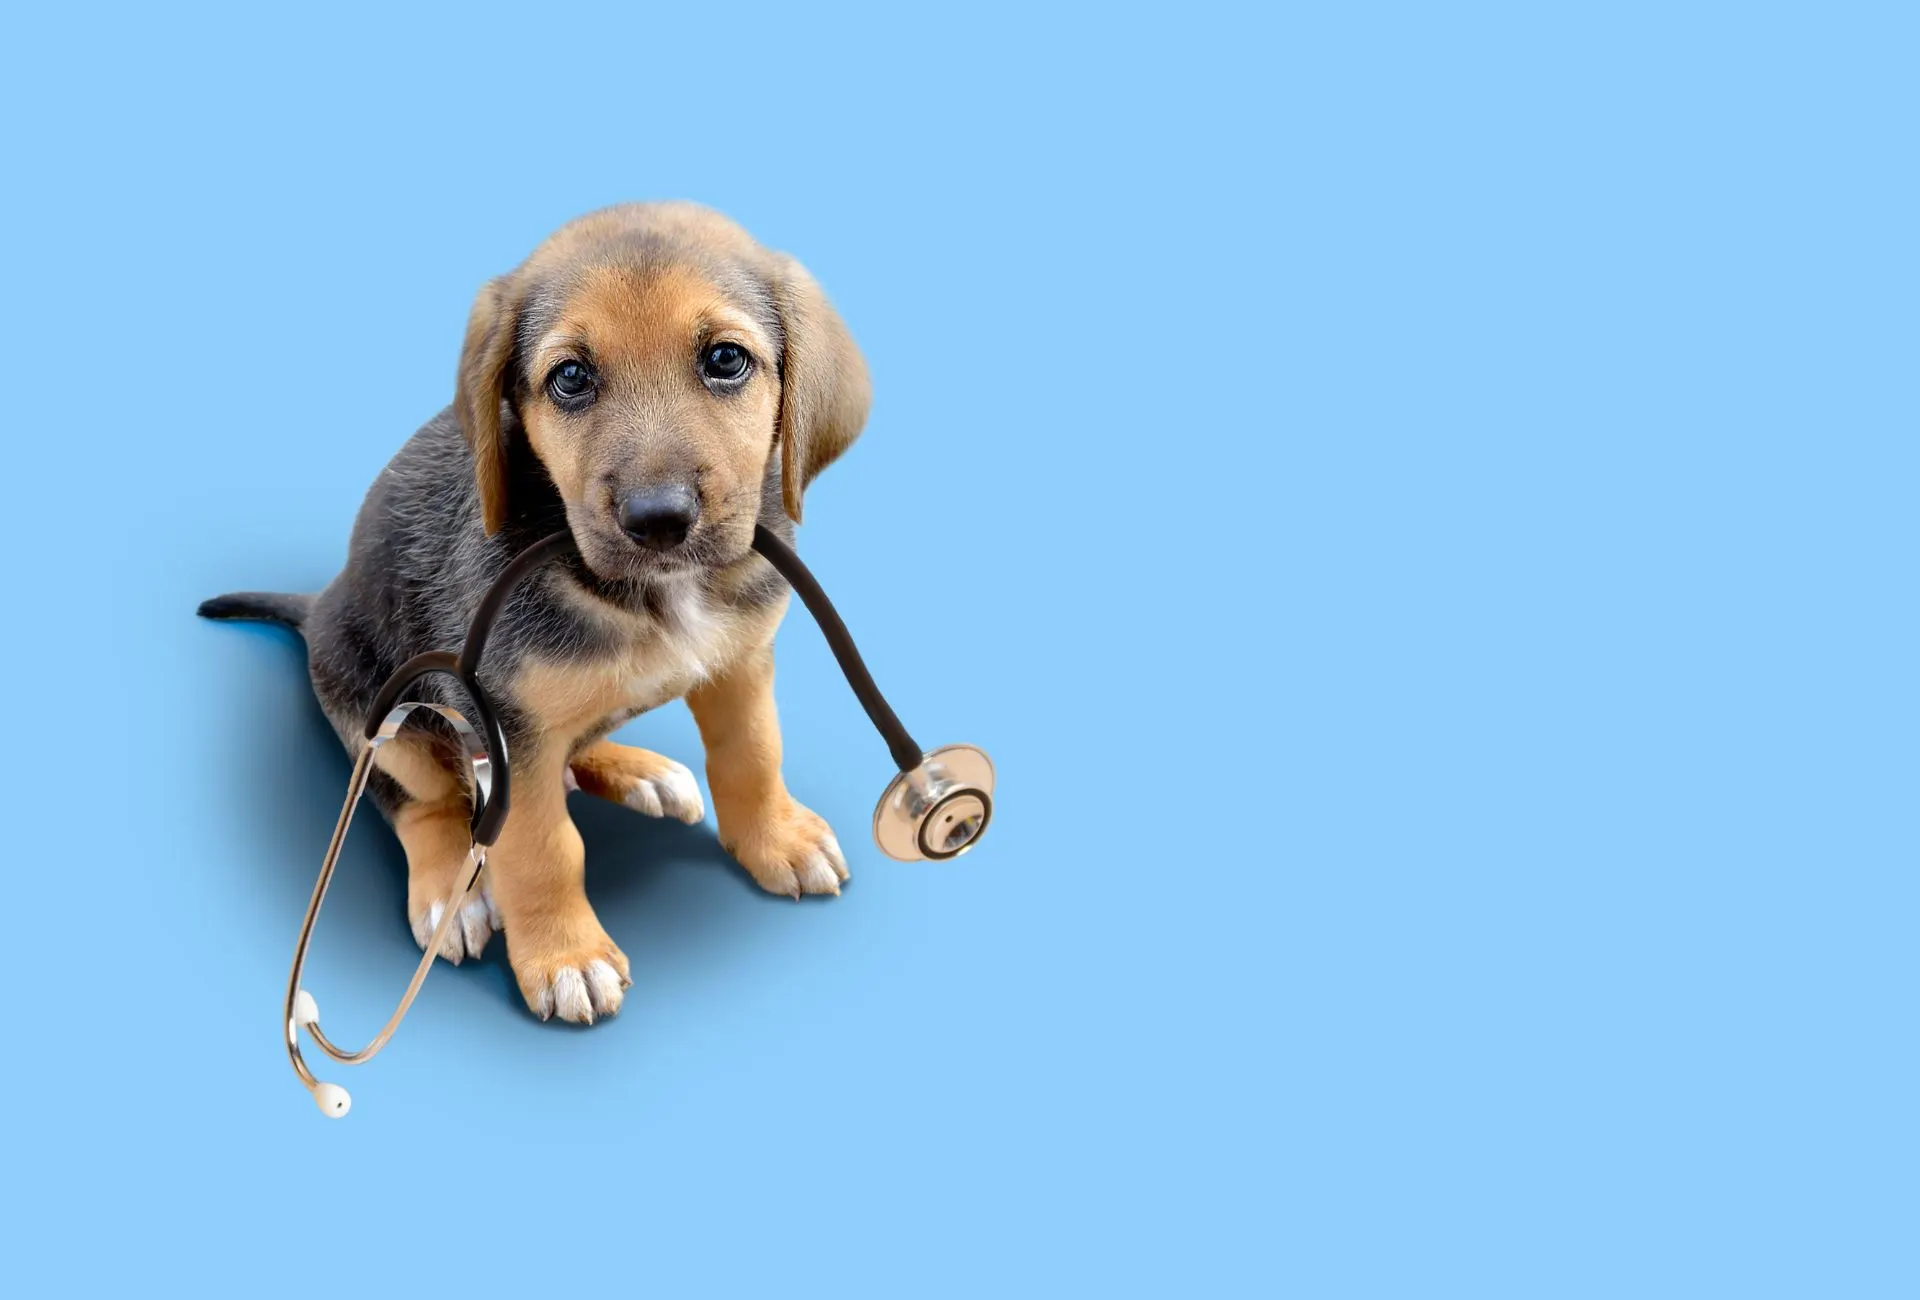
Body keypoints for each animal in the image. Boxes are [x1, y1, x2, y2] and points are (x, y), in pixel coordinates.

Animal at [198, 200, 875, 1021]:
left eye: (726, 360)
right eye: (571, 378)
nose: (659, 520)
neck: (657, 594)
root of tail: (318, 605)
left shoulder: (742, 663)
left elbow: (752, 754)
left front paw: (775, 838)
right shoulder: (506, 724)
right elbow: (542, 849)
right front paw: (565, 955)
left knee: (571, 749)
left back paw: (638, 769)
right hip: (378, 710)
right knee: (421, 802)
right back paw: (448, 893)